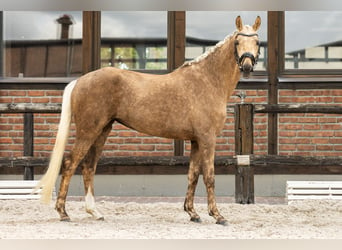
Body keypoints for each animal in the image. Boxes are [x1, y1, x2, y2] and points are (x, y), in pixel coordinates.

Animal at [37, 16, 260, 226]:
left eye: (257, 42)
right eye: (238, 41)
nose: (247, 66)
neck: (208, 81)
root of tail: (79, 81)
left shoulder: (196, 140)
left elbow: (193, 175)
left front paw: (192, 213)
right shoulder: (207, 139)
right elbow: (210, 177)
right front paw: (218, 216)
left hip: (102, 131)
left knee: (88, 167)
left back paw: (95, 212)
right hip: (88, 132)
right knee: (70, 164)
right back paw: (63, 213)